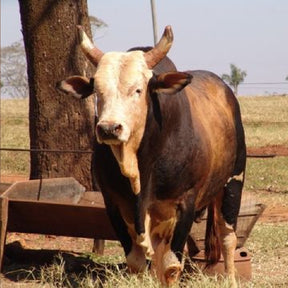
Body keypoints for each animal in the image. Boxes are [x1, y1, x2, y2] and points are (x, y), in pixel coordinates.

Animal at [57, 25, 246, 286]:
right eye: (97, 91)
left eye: (138, 89)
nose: (109, 128)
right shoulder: (114, 204)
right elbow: (137, 263)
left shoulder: (185, 204)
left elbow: (171, 267)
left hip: (234, 182)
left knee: (228, 237)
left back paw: (230, 278)